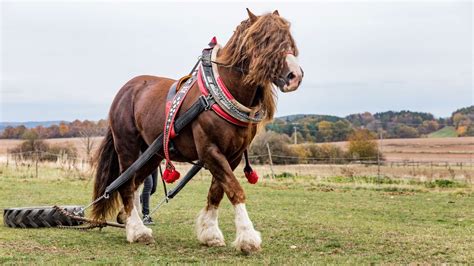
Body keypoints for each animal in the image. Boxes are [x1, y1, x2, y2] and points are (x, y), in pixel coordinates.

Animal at [90, 8, 302, 254]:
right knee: (125, 183)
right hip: (127, 146)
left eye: (289, 40)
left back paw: (130, 221)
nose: (295, 76)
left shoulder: (233, 156)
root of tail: (126, 89)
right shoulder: (210, 150)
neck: (218, 94)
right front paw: (248, 237)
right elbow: (235, 189)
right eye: (263, 40)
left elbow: (217, 191)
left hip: (152, 153)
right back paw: (137, 230)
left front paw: (210, 233)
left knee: (134, 182)